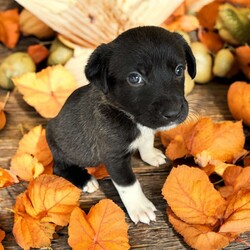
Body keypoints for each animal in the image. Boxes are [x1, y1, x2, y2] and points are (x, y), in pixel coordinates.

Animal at [46, 25, 196, 225]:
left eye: (179, 70)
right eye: (135, 78)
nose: (173, 113)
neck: (129, 116)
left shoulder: (145, 128)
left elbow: (147, 140)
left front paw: (150, 154)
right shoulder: (114, 157)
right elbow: (129, 183)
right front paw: (140, 207)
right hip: (64, 150)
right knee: (59, 167)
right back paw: (85, 180)